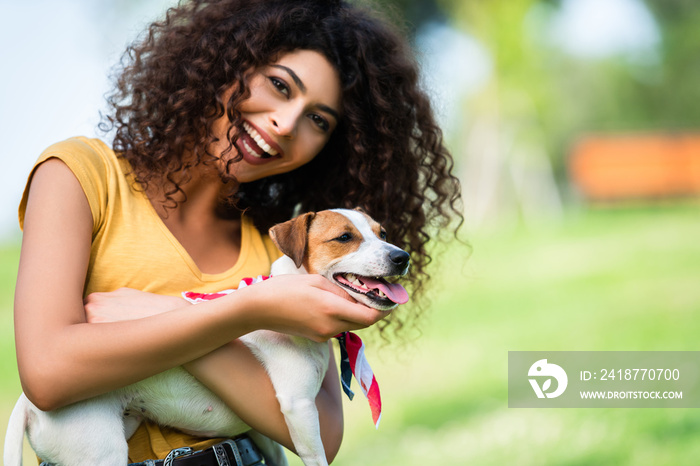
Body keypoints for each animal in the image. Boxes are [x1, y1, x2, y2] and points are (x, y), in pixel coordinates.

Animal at [4, 209, 410, 466]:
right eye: (344, 237)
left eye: (383, 234)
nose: (402, 256)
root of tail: (26, 402)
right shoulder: (298, 407)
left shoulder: (268, 429)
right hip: (98, 451)